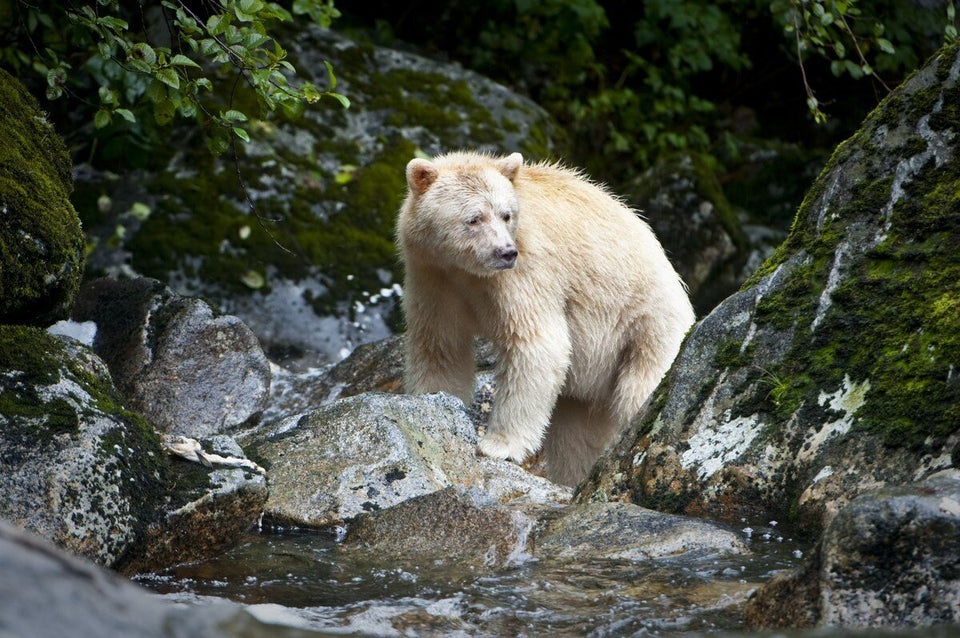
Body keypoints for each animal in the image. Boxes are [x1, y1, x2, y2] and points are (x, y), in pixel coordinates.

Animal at [394, 152, 692, 488]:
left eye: (506, 215)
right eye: (474, 218)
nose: (506, 252)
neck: (468, 272)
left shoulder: (526, 275)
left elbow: (535, 345)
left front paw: (498, 445)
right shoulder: (433, 277)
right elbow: (440, 346)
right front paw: (429, 400)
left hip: (648, 326)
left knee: (639, 391)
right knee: (575, 437)